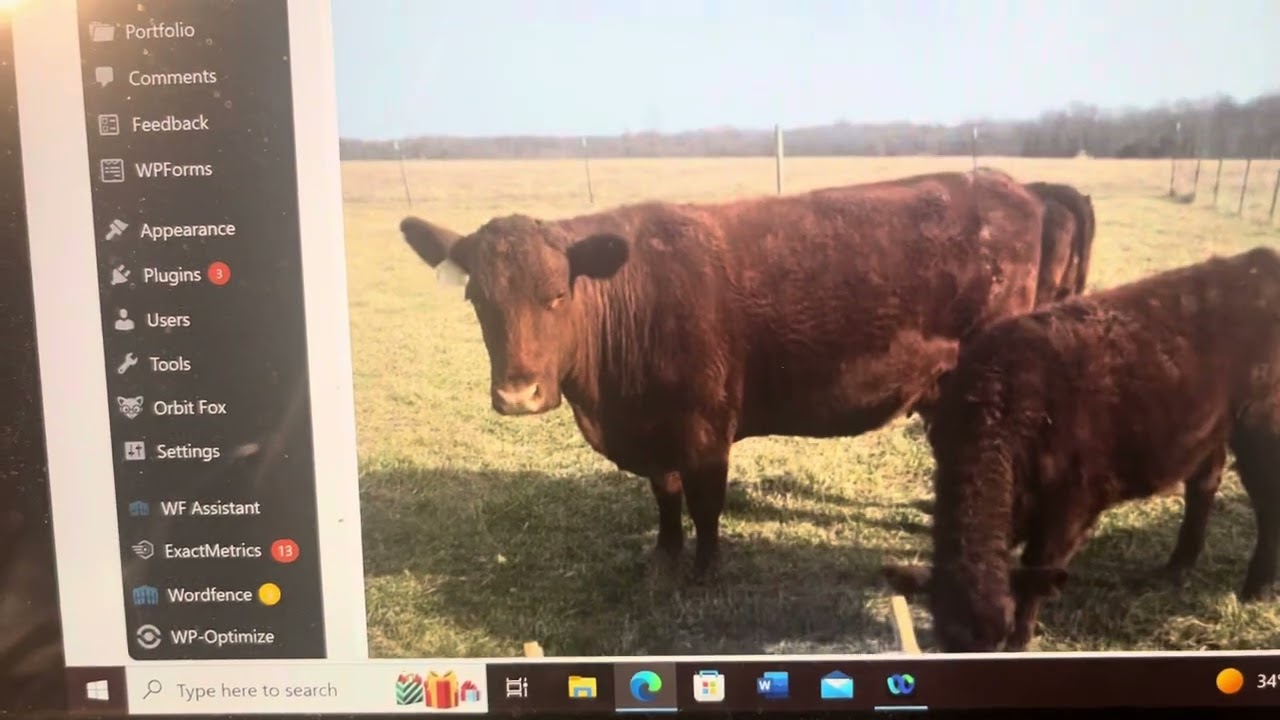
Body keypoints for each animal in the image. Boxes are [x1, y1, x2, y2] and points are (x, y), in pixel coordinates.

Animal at [399, 168, 1046, 578]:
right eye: (477, 299)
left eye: (557, 294)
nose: (517, 394)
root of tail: (1006, 185)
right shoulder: (653, 433)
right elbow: (666, 497)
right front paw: (664, 557)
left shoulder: (706, 427)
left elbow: (706, 502)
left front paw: (707, 568)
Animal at [883, 246, 1280, 652]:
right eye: (945, 638)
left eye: (998, 637)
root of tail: (1258, 261)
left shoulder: (1070, 510)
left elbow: (1037, 572)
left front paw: (1021, 640)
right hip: (1209, 431)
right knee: (1204, 484)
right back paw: (1177, 568)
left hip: (1262, 424)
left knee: (1268, 503)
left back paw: (1258, 588)